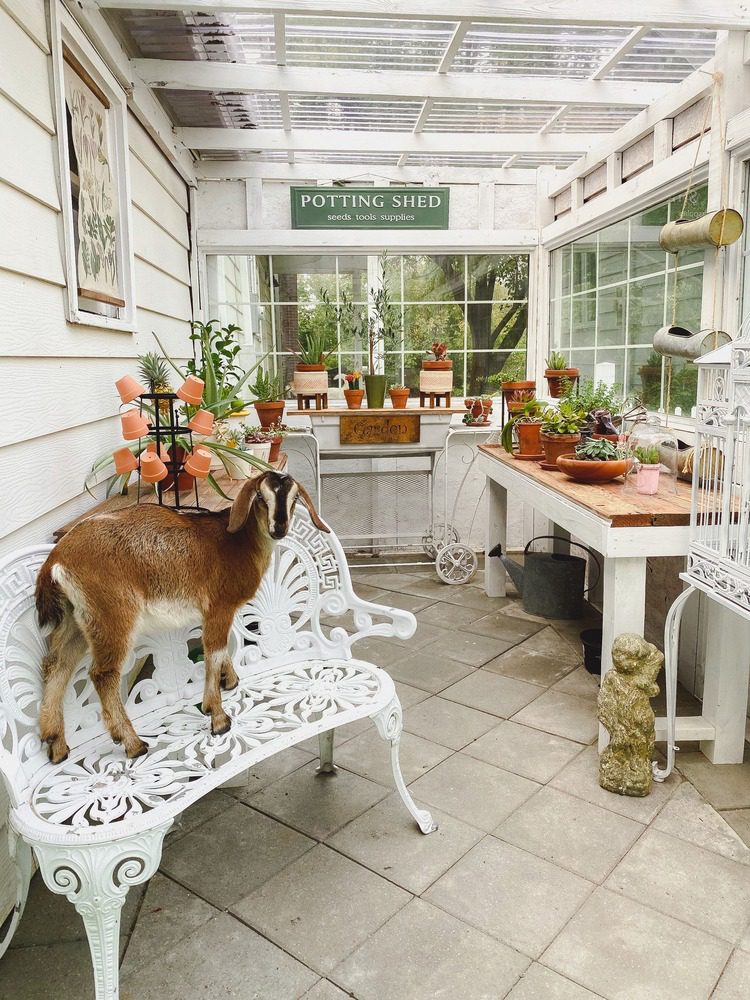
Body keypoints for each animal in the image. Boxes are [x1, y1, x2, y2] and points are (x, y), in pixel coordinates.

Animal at [36, 472, 328, 760]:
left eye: (294, 498)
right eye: (260, 496)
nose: (279, 527)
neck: (238, 543)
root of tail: (56, 560)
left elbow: (221, 649)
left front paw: (230, 680)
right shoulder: (218, 607)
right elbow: (214, 652)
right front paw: (218, 717)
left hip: (78, 617)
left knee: (56, 664)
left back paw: (55, 743)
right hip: (112, 614)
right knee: (103, 673)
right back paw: (132, 743)